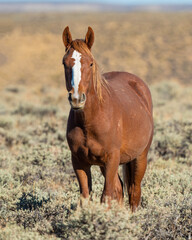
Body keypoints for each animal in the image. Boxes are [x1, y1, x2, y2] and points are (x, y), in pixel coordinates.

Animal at [62, 25, 154, 211]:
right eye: (64, 63)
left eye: (90, 63)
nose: (76, 99)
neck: (90, 122)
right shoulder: (79, 162)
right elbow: (85, 198)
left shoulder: (111, 160)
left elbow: (106, 196)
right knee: (120, 190)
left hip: (140, 157)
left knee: (134, 192)